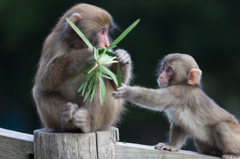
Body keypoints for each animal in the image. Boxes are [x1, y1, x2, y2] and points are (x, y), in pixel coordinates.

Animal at [32, 3, 132, 133]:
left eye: (106, 32)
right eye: (102, 32)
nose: (106, 44)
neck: (77, 44)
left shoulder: (107, 53)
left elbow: (117, 85)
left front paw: (122, 58)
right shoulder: (53, 42)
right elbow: (44, 80)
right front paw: (86, 55)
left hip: (107, 119)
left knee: (99, 79)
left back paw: (88, 123)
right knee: (40, 90)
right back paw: (66, 117)